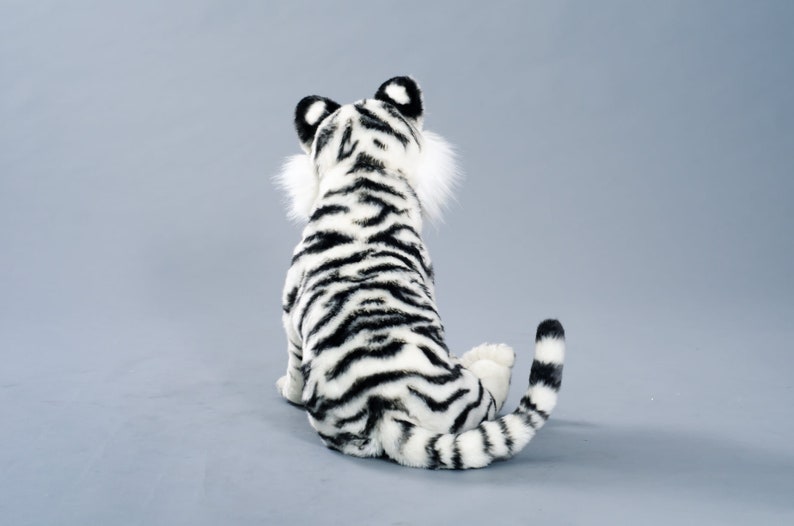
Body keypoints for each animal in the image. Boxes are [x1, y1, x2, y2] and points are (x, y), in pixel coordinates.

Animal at [274, 76, 566, 469]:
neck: (364, 172)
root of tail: (384, 409)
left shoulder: (291, 314)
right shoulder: (291, 316)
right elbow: (293, 370)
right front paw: (287, 390)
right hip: (472, 403)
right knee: (493, 393)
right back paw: (495, 356)